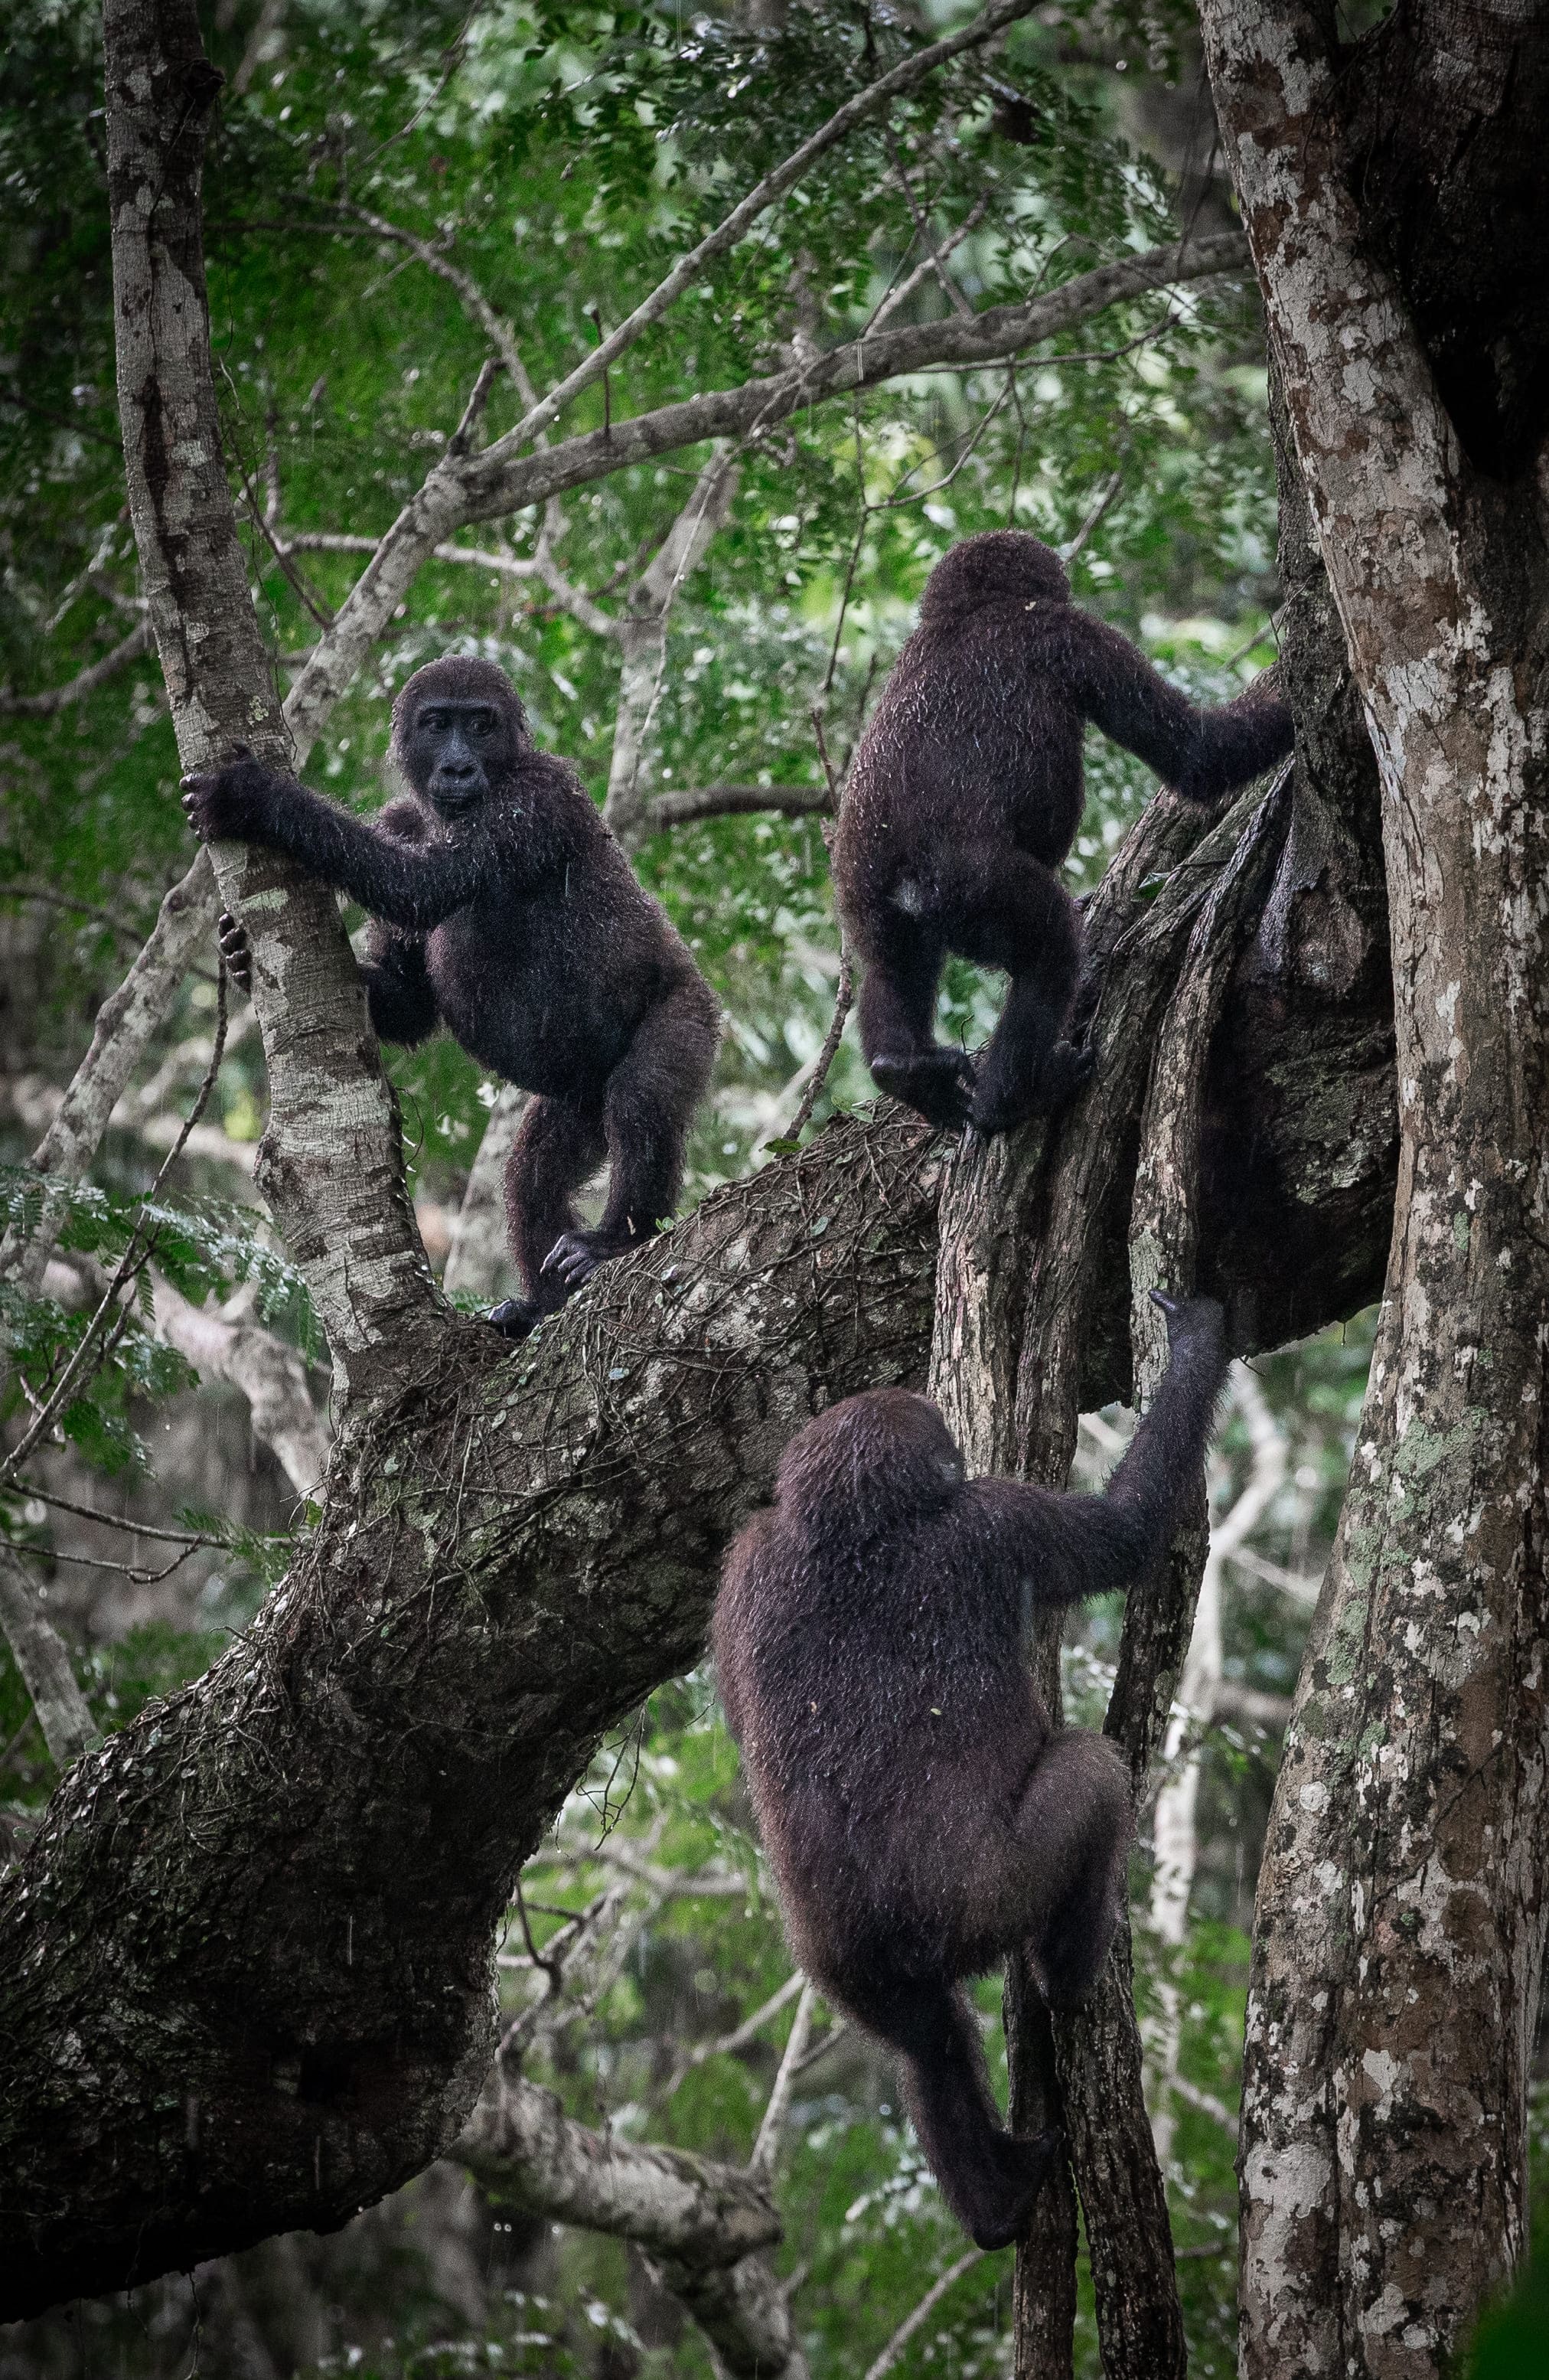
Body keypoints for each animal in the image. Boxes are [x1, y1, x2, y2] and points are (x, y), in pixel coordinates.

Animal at [182, 656, 721, 1338]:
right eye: (438, 723)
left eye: (481, 724)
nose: (460, 767)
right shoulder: (401, 819)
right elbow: (410, 999)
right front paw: (238, 956)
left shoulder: (539, 797)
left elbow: (419, 884)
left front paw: (256, 797)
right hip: (579, 1095)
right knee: (535, 1172)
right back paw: (540, 1304)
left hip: (692, 1012)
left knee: (641, 1095)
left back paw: (614, 1245)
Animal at [712, 1288, 1229, 2251]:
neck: (849, 1527)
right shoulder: (995, 1522)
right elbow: (1123, 1536)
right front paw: (1196, 1348)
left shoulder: (742, 1565)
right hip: (987, 1894)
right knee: (1091, 1776)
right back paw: (1069, 1968)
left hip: (847, 1965)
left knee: (926, 2042)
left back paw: (991, 2198)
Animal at [832, 531, 1294, 1135]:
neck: (970, 611)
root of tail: (904, 878)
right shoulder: (1076, 636)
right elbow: (1195, 750)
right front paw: (1292, 704)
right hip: (977, 887)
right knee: (1049, 947)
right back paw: (1013, 1098)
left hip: (868, 902)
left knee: (893, 969)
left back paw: (902, 1070)